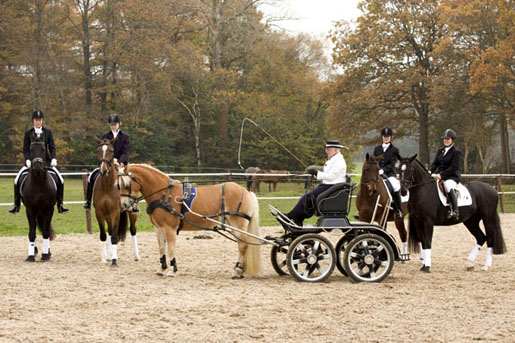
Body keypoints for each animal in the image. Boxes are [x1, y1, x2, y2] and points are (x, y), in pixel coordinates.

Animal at [92, 137, 140, 266]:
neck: (107, 186)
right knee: (109, 231)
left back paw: (136, 256)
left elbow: (114, 237)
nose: (103, 170)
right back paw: (109, 255)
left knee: (132, 230)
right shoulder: (100, 213)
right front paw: (104, 259)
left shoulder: (115, 212)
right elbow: (103, 235)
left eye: (111, 150)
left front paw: (114, 261)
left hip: (131, 212)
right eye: (98, 150)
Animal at [117, 164, 262, 280]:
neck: (164, 194)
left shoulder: (169, 228)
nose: (124, 204)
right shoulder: (158, 228)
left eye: (127, 184)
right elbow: (162, 248)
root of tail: (246, 192)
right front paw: (162, 268)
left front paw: (172, 270)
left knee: (243, 245)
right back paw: (241, 270)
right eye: (118, 185)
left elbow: (170, 248)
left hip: (238, 224)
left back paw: (237, 270)